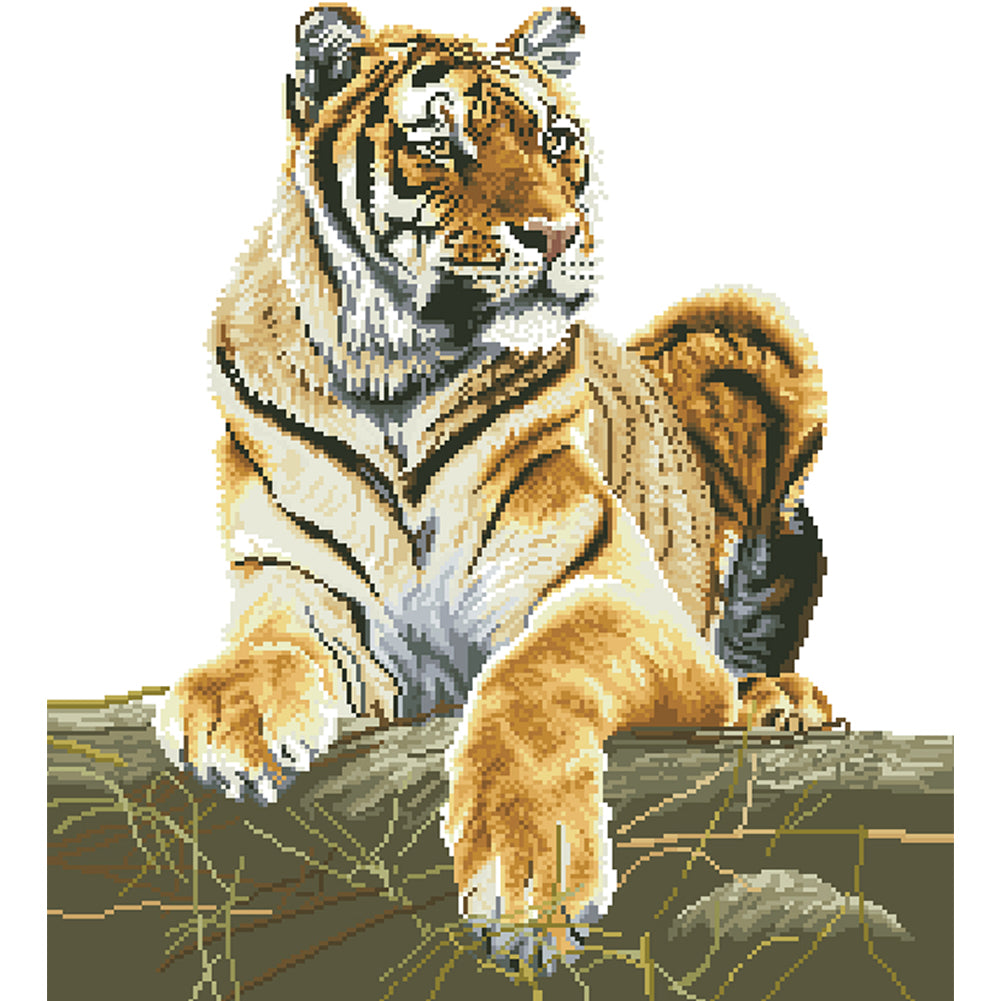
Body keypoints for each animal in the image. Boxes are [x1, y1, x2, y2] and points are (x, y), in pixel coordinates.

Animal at [154, 4, 832, 962]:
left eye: (555, 140)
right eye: (439, 140)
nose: (554, 234)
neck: (395, 377)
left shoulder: (612, 591)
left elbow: (529, 680)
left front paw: (532, 875)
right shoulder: (297, 579)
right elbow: (271, 639)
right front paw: (230, 713)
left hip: (743, 334)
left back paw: (777, 699)